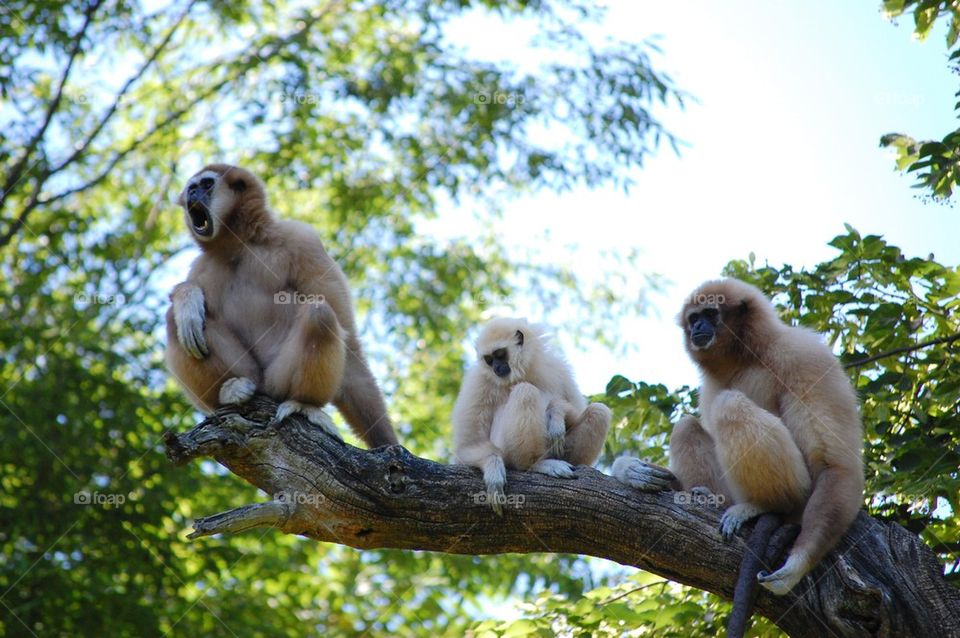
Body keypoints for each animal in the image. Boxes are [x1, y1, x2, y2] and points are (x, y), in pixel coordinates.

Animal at [164, 163, 398, 449]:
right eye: (192, 187)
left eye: (206, 184)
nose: (193, 194)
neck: (239, 245)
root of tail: (265, 388)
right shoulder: (201, 266)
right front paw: (188, 297)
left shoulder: (303, 239)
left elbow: (350, 346)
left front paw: (389, 444)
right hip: (251, 374)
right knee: (176, 320)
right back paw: (229, 390)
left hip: (278, 380)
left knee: (320, 314)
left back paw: (303, 404)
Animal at [452, 317, 612, 514]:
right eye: (489, 360)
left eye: (499, 354)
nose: (496, 367)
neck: (521, 373)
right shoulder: (477, 382)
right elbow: (467, 445)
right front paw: (492, 467)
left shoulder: (557, 367)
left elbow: (576, 408)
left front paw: (556, 412)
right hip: (506, 451)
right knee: (525, 391)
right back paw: (534, 465)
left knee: (599, 412)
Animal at [614, 278, 863, 637]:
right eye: (693, 318)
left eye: (709, 314)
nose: (698, 328)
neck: (746, 356)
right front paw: (631, 471)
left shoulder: (804, 354)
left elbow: (836, 466)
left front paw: (797, 564)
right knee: (687, 425)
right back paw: (707, 495)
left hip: (802, 489)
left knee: (729, 405)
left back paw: (763, 505)